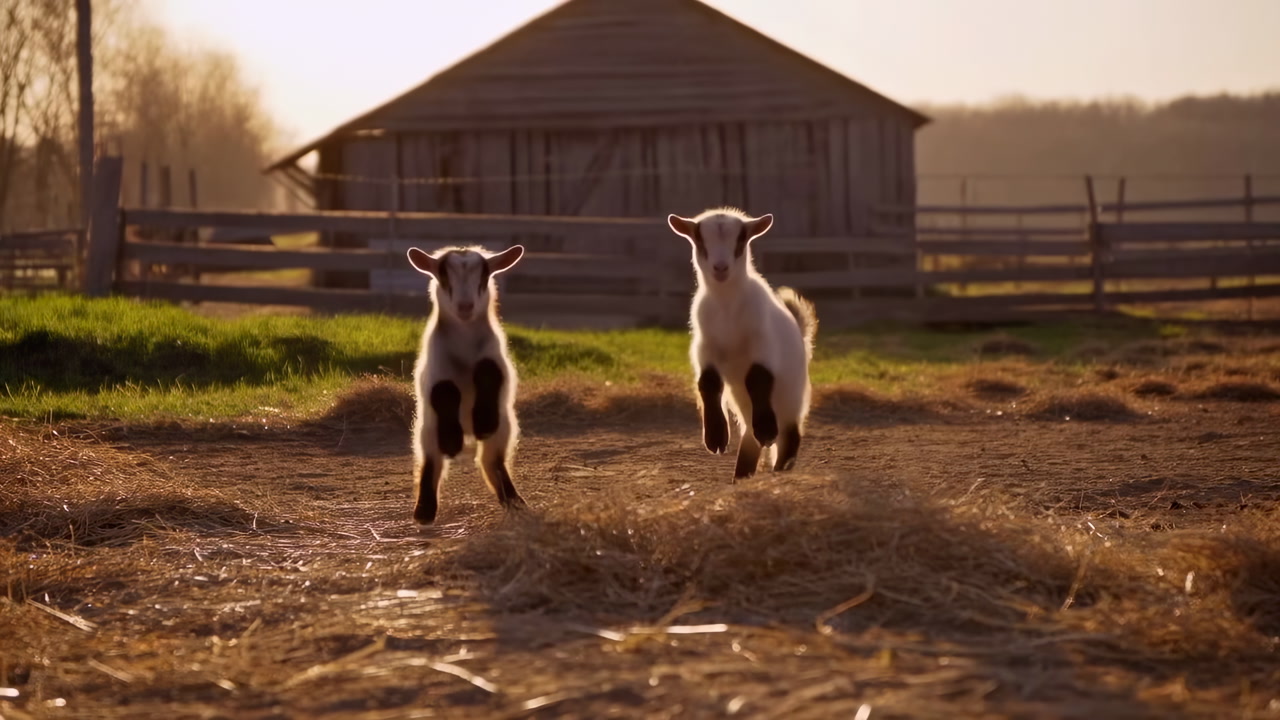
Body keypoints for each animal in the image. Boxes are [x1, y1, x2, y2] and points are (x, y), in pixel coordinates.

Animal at [405, 244, 526, 525]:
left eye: (484, 275)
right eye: (442, 275)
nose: (465, 306)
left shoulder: (497, 360)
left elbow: (489, 373)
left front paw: (484, 421)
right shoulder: (435, 370)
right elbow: (445, 392)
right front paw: (452, 442)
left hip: (506, 427)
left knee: (492, 461)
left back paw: (513, 500)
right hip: (426, 430)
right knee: (431, 463)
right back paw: (425, 511)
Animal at [667, 207, 818, 480]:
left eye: (740, 240)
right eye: (700, 240)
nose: (720, 267)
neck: (728, 307)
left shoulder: (763, 347)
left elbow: (757, 378)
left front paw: (767, 430)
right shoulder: (705, 349)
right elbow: (708, 383)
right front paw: (716, 438)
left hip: (791, 398)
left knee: (790, 435)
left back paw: (779, 469)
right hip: (746, 408)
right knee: (749, 438)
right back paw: (742, 475)